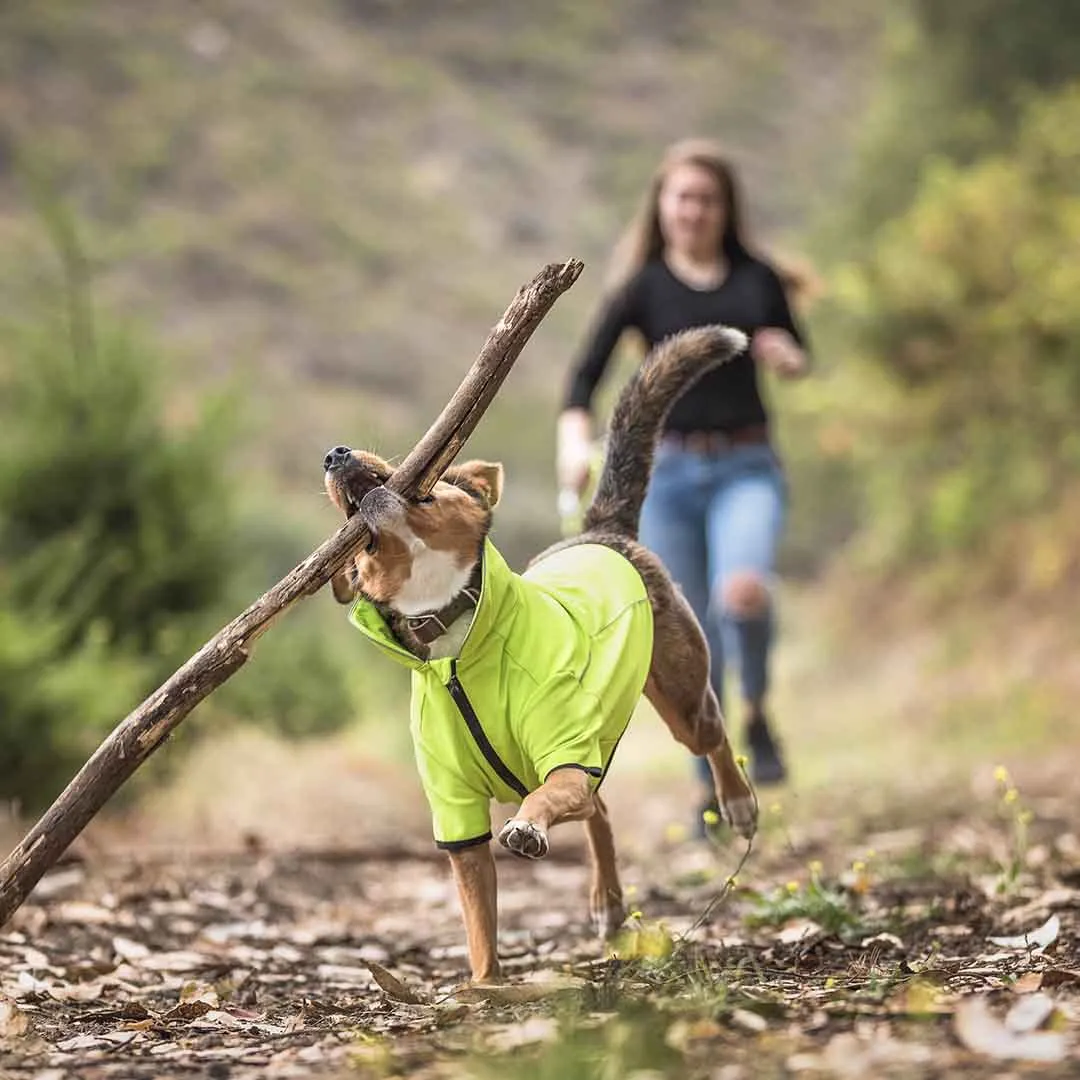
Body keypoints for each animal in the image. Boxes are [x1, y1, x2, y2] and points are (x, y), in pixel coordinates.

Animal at [324, 324, 756, 984]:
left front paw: (526, 824)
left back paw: (737, 803)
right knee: (600, 809)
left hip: (681, 698)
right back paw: (607, 901)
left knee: (711, 736)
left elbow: (544, 796)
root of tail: (601, 530)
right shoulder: (456, 812)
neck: (450, 629)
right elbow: (479, 921)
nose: (333, 455)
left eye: (413, 466)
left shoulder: (565, 756)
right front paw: (485, 987)